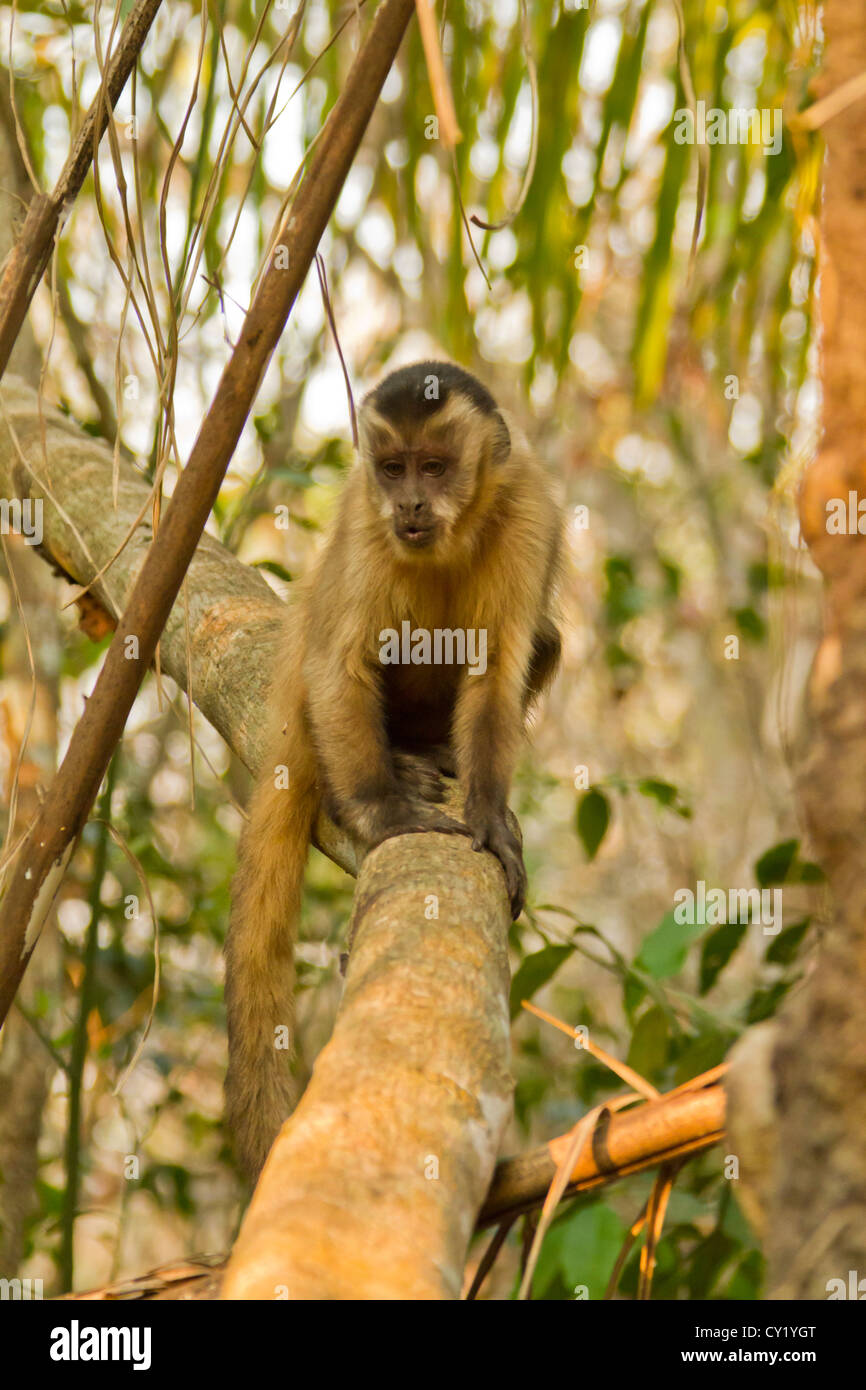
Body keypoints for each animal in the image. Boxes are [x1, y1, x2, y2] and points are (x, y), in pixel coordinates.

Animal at [225, 358, 561, 1173]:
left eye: (433, 467)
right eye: (392, 468)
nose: (408, 501)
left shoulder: (530, 508)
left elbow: (498, 667)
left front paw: (489, 818)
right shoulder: (363, 518)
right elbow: (340, 663)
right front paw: (381, 811)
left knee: (543, 640)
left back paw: (437, 755)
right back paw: (396, 771)